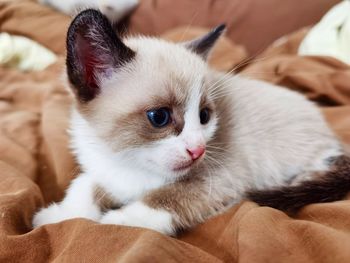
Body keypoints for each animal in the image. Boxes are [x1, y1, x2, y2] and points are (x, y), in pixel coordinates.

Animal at [32, 9, 348, 237]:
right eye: (159, 117)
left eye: (204, 116)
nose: (198, 150)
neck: (128, 161)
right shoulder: (105, 172)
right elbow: (83, 185)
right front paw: (58, 216)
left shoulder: (219, 179)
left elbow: (164, 199)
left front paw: (114, 221)